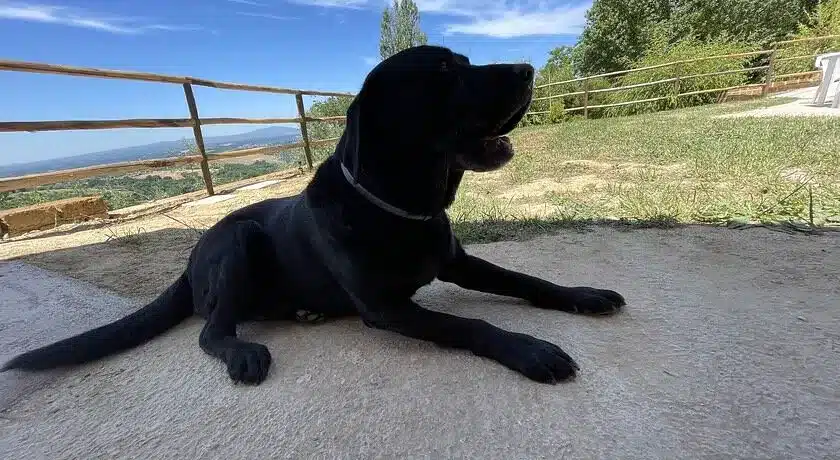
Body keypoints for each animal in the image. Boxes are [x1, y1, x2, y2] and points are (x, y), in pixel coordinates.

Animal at [2, 46, 625, 385]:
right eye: (446, 71)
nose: (527, 68)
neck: (401, 206)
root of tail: (189, 260)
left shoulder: (457, 262)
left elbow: (527, 280)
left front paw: (583, 295)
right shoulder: (385, 307)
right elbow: (470, 324)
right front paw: (531, 350)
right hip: (241, 240)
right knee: (210, 331)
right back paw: (243, 351)